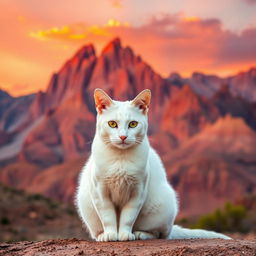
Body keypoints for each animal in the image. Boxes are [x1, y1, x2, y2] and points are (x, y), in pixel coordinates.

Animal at [75, 89, 230, 241]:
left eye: (133, 124)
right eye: (112, 124)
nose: (123, 136)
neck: (121, 159)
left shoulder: (138, 191)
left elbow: (128, 217)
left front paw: (125, 234)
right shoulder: (100, 191)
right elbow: (108, 217)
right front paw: (110, 234)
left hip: (163, 207)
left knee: (159, 234)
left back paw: (140, 234)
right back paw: (102, 235)